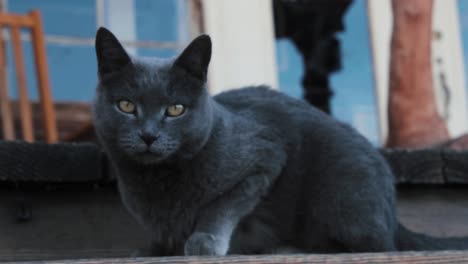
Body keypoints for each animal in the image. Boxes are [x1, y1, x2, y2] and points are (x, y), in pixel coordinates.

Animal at [93, 27, 468, 256]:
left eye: (175, 109)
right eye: (126, 106)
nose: (149, 135)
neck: (155, 183)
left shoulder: (265, 158)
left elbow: (221, 205)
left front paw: (203, 241)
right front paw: (154, 249)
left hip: (342, 192)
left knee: (375, 244)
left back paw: (289, 248)